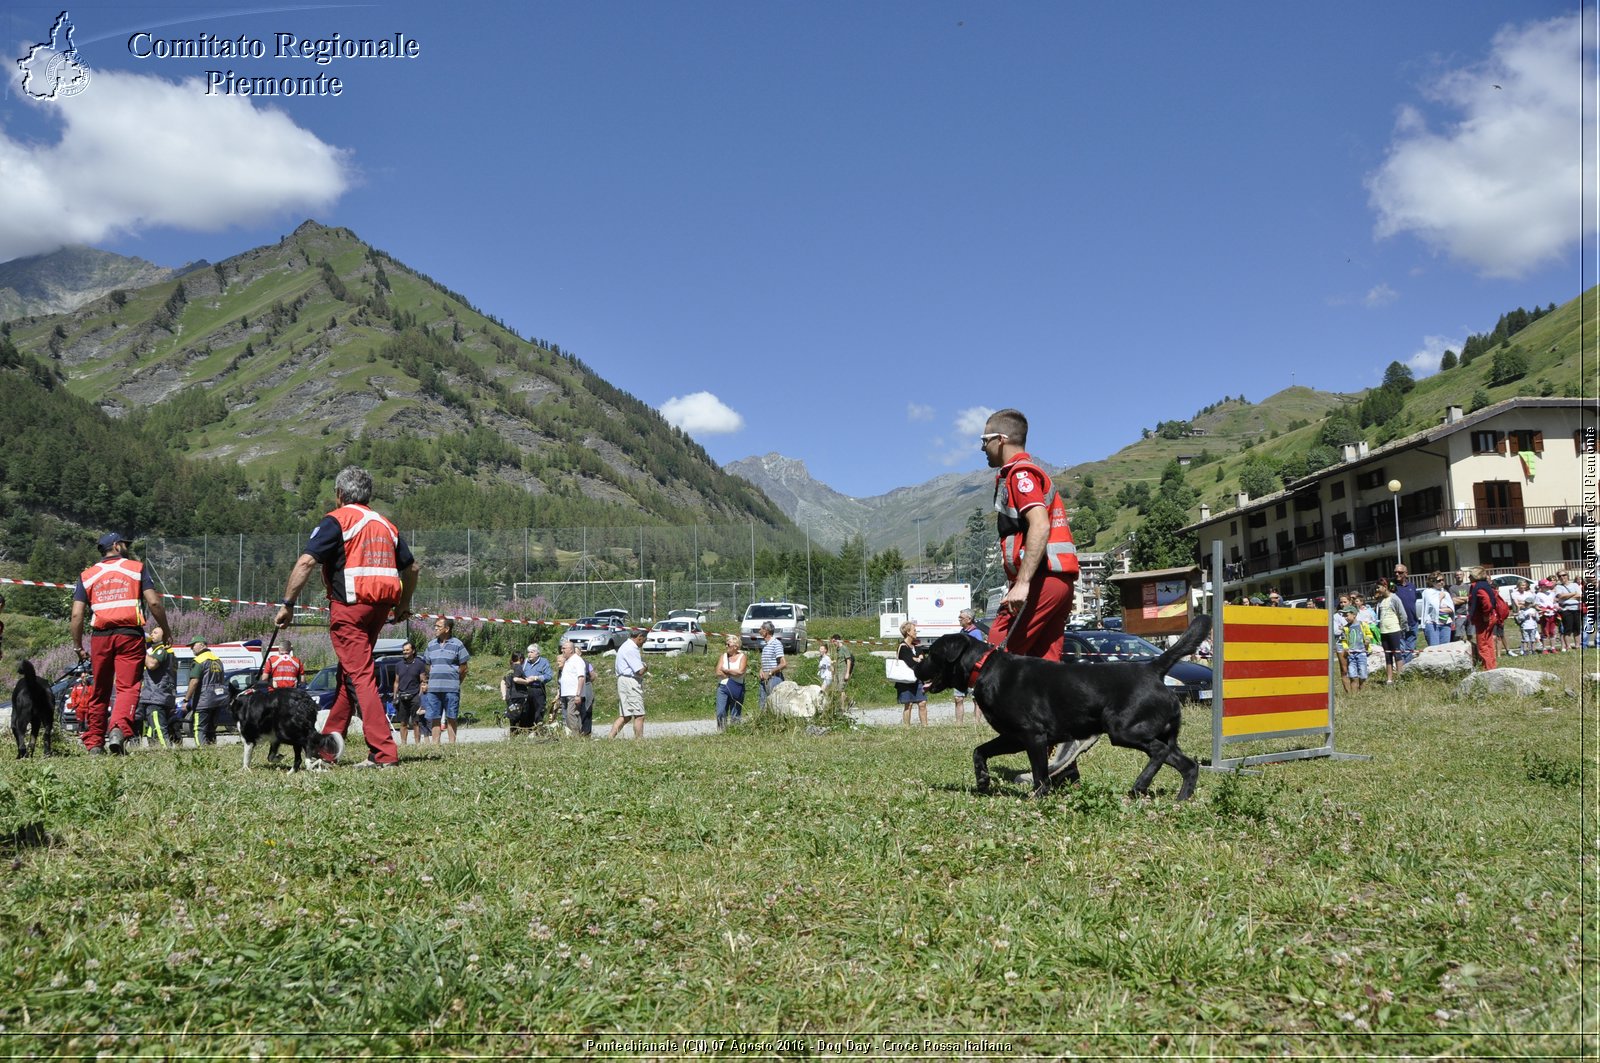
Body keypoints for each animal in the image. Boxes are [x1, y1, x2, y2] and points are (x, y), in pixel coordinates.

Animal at [915, 611, 1209, 800]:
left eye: (931, 654)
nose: (916, 667)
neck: (983, 667)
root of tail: (1152, 668)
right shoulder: (1013, 737)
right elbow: (979, 751)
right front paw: (983, 781)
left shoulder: (1033, 735)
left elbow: (1039, 773)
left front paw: (1038, 797)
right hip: (1159, 733)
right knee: (1188, 765)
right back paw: (1181, 799)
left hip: (1124, 729)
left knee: (1158, 752)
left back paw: (1140, 785)